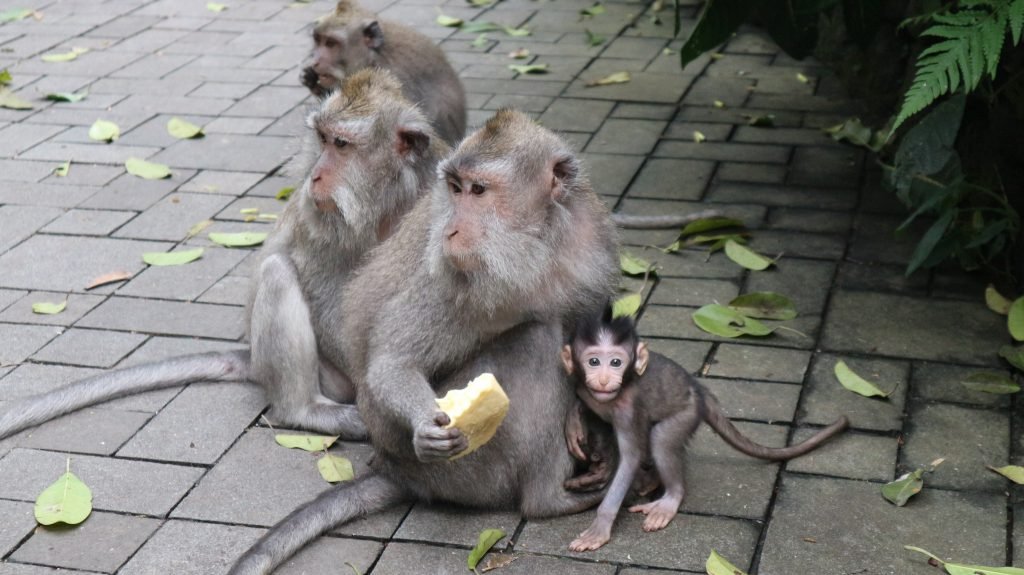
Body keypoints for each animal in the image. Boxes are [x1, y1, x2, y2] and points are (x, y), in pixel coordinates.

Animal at [0, 69, 448, 442]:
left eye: (341, 144)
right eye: (322, 139)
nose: (316, 175)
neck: (385, 201)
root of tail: (252, 357)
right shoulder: (317, 218)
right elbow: (318, 283)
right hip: (327, 377)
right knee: (277, 272)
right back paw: (305, 411)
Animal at [226, 109, 624, 575]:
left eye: (478, 190)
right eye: (454, 188)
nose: (450, 229)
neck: (536, 248)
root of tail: (398, 470)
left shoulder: (593, 244)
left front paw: (587, 425)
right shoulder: (449, 277)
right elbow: (393, 362)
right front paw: (424, 425)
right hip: (468, 469)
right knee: (536, 340)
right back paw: (549, 500)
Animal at [302, 0, 468, 146]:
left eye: (331, 43)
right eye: (318, 40)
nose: (315, 61)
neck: (374, 57)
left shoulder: (392, 78)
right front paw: (311, 79)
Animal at [560, 307, 850, 552]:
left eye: (616, 363)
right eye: (594, 362)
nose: (604, 380)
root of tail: (698, 390)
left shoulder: (628, 407)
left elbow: (630, 458)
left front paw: (600, 527)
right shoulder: (582, 386)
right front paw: (574, 419)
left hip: (686, 414)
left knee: (661, 440)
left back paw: (670, 498)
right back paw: (652, 479)